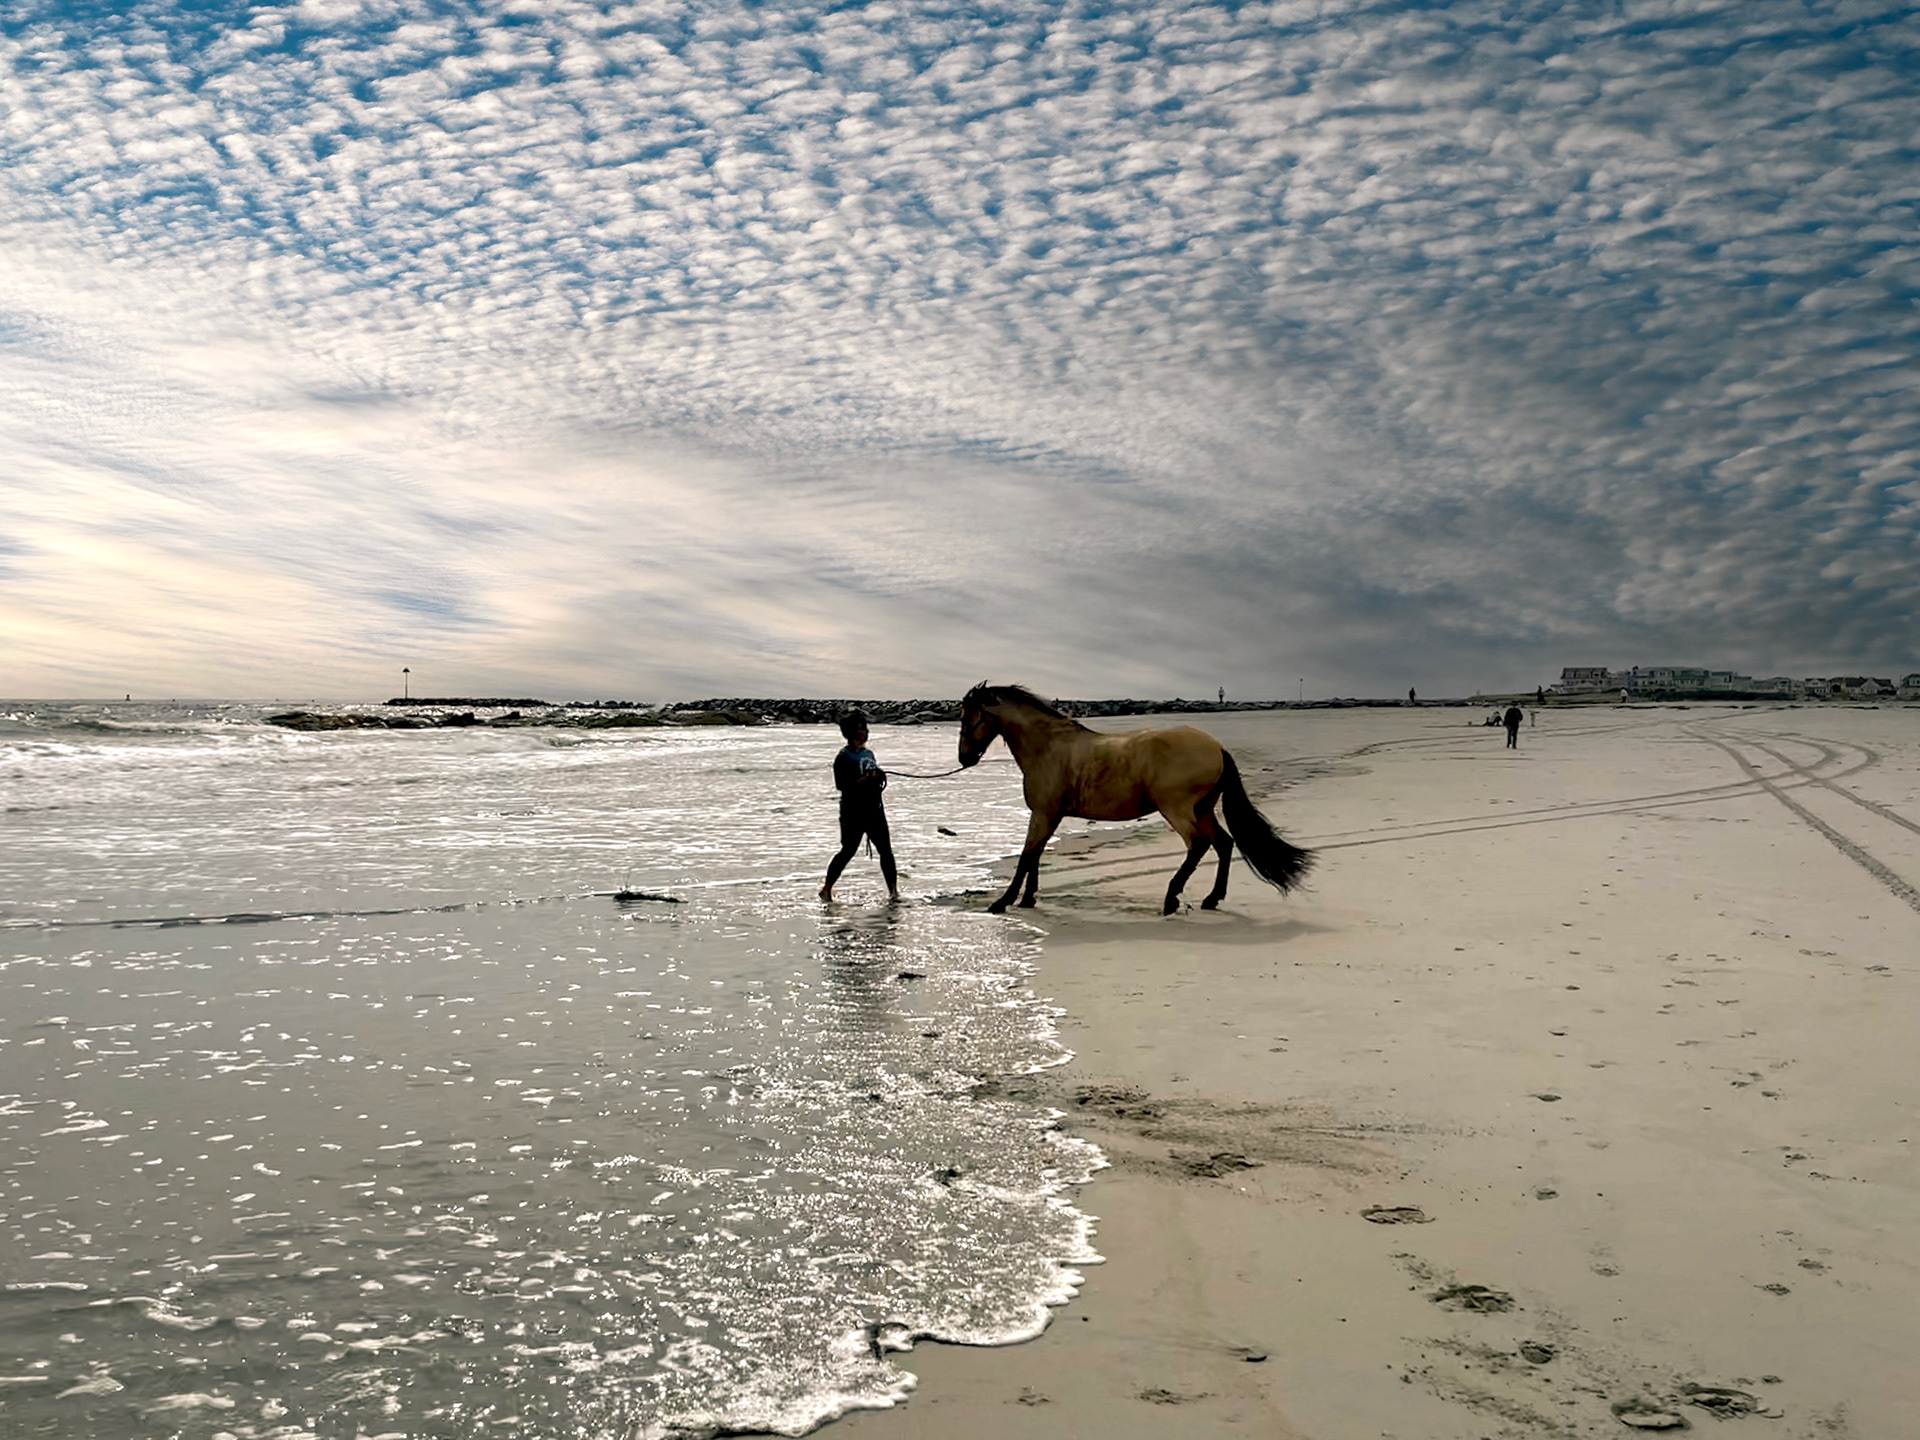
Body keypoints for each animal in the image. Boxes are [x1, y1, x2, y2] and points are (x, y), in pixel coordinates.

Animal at [957, 683, 1314, 915]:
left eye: (965, 716)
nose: (964, 758)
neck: (1049, 748)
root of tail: (1218, 747)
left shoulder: (1043, 813)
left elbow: (1025, 856)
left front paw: (1003, 902)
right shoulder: (1050, 815)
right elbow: (1036, 855)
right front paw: (1028, 898)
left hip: (1177, 809)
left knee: (1199, 844)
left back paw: (1171, 899)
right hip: (1202, 808)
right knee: (1223, 843)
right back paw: (1211, 899)